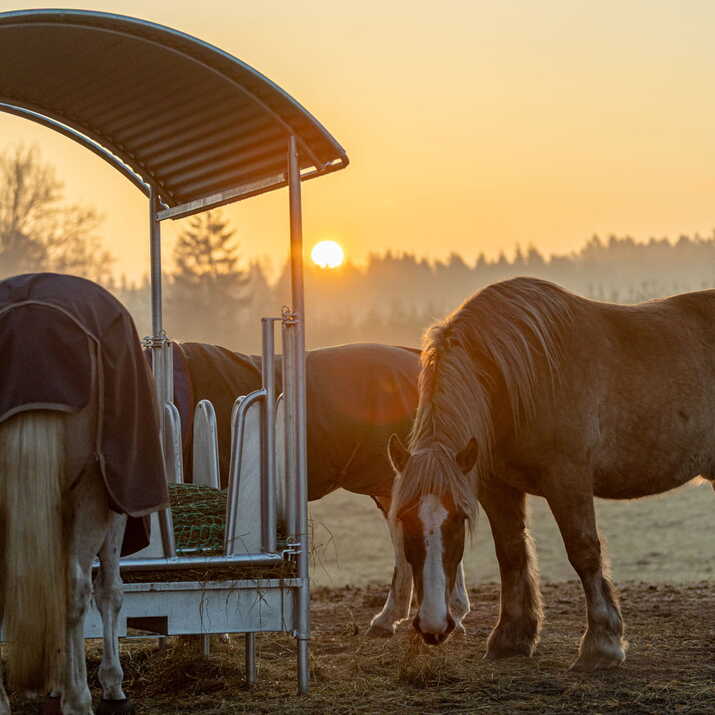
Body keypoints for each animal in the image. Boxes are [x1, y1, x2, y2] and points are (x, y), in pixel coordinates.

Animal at [0, 272, 168, 715]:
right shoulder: (113, 510)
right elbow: (109, 591)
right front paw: (110, 683)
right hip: (93, 495)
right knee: (76, 589)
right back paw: (79, 698)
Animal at [388, 276, 715, 669]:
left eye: (458, 521)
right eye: (404, 521)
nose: (433, 626)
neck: (518, 377)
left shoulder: (568, 479)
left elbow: (583, 552)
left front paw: (601, 644)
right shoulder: (497, 487)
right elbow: (511, 552)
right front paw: (511, 637)